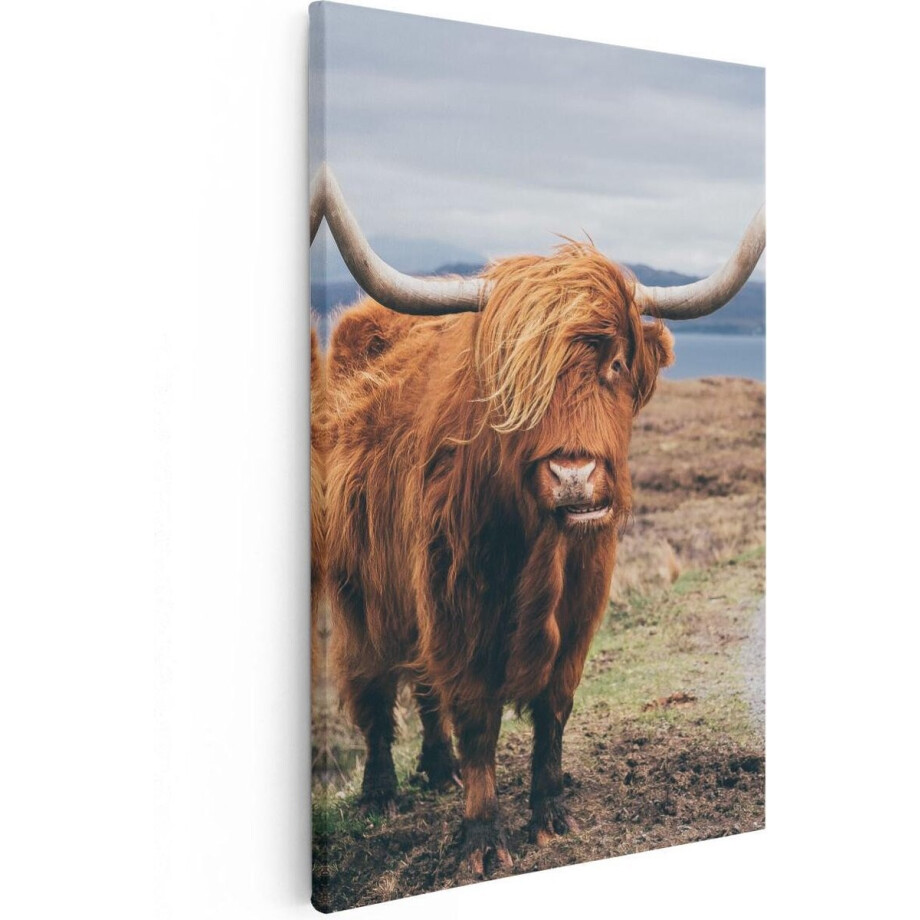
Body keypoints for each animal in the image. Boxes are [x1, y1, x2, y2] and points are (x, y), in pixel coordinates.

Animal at [310, 165, 765, 877]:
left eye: (615, 363)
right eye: (517, 378)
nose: (573, 475)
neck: (539, 552)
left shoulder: (580, 608)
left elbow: (553, 708)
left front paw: (550, 813)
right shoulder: (456, 606)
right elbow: (477, 717)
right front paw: (481, 835)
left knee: (424, 689)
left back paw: (436, 769)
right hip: (362, 592)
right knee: (376, 687)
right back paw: (383, 791)